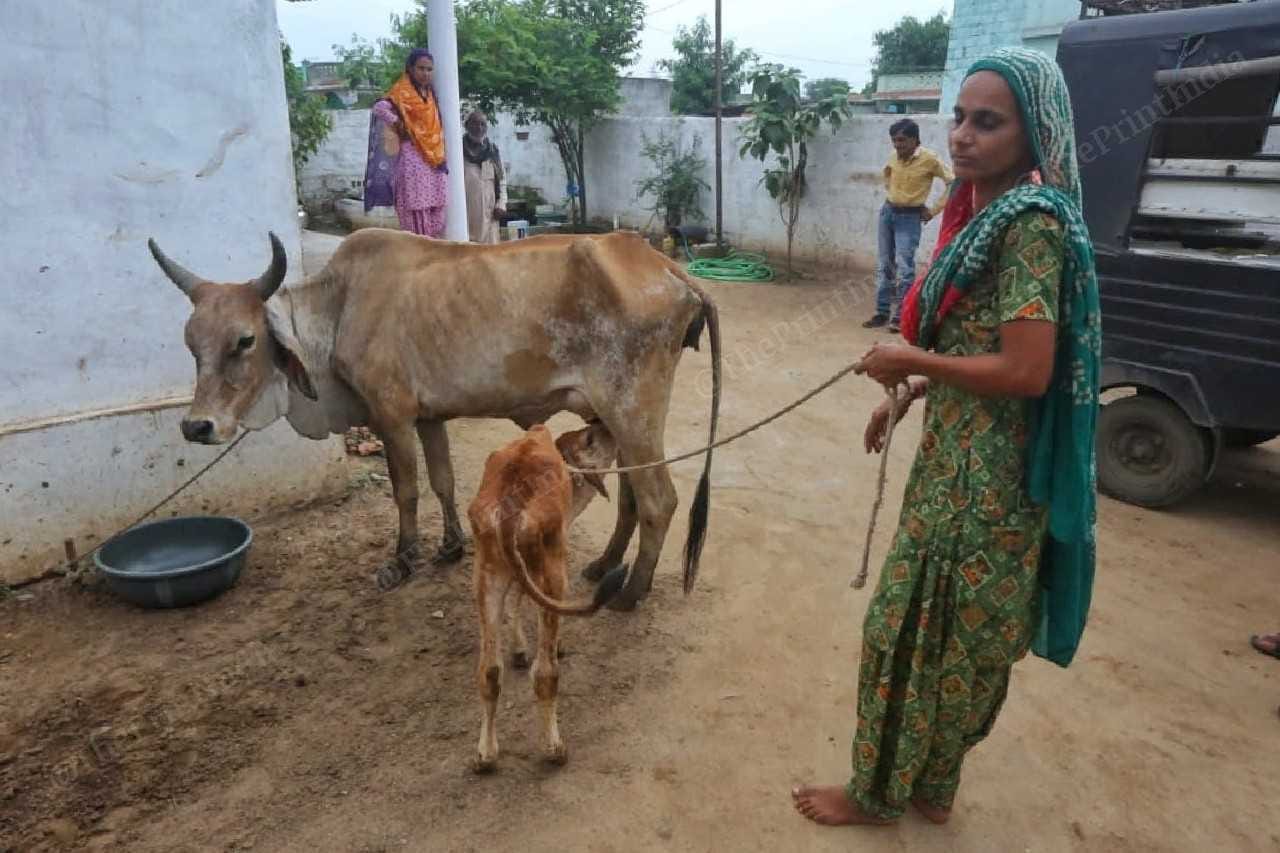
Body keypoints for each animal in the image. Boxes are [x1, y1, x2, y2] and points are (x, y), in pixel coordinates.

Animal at [146, 228, 721, 610]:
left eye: (245, 340)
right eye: (191, 343)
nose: (197, 426)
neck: (339, 308)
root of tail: (665, 265)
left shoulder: (391, 414)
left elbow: (407, 490)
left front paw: (401, 560)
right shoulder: (429, 417)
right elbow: (443, 480)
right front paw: (449, 546)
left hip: (632, 410)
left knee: (659, 500)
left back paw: (629, 593)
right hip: (616, 417)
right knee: (631, 497)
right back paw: (605, 566)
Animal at [467, 420, 622, 770]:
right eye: (596, 437)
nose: (608, 426)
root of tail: (509, 512)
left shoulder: (515, 571)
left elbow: (517, 601)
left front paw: (519, 648)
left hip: (486, 575)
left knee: (489, 671)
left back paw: (486, 753)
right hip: (552, 570)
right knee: (545, 673)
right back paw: (553, 747)